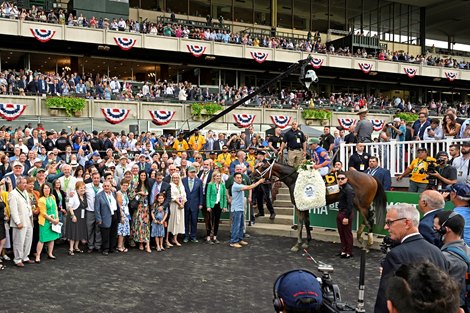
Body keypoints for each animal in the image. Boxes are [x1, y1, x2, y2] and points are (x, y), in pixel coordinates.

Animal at [255, 160, 388, 252]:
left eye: (263, 166)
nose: (253, 175)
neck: (295, 179)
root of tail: (371, 177)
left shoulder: (299, 206)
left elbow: (300, 224)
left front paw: (297, 244)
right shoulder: (305, 206)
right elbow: (307, 223)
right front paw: (307, 242)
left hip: (362, 205)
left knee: (369, 221)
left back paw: (367, 244)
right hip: (359, 204)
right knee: (367, 220)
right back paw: (360, 237)